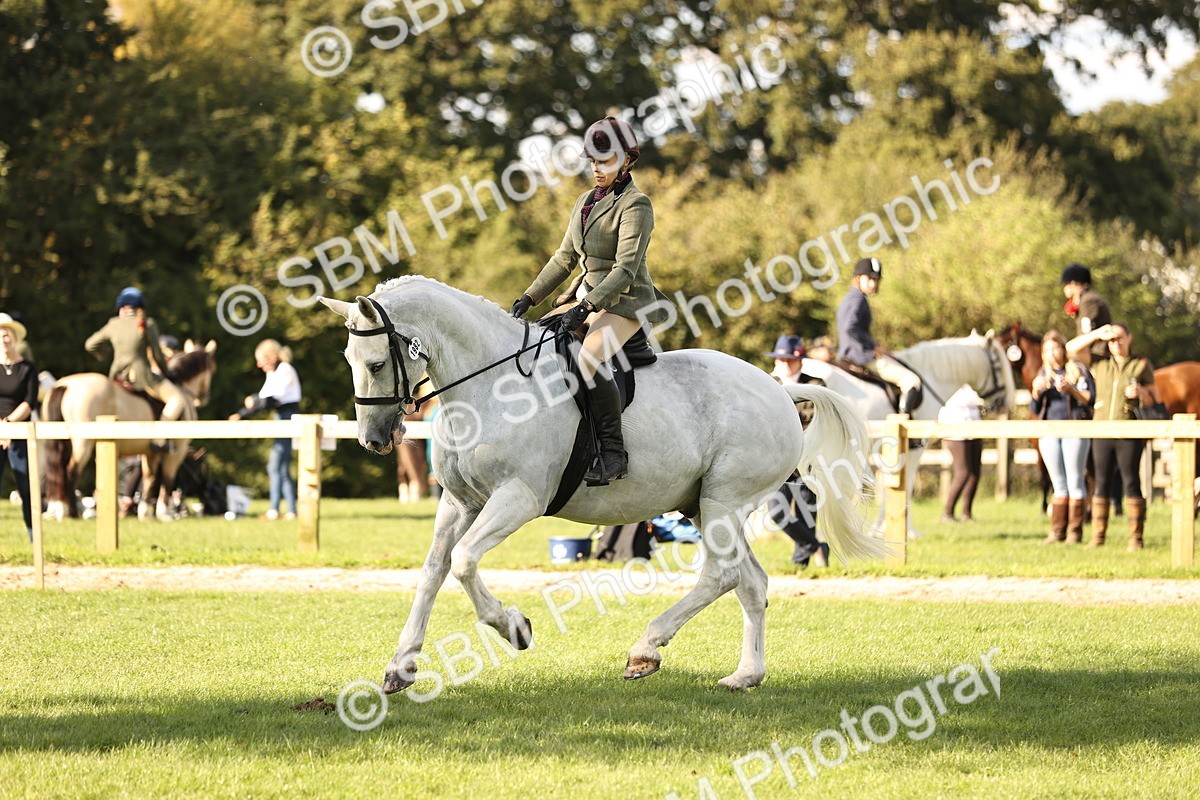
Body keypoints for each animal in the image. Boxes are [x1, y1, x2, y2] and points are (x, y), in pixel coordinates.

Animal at [42, 342, 218, 521]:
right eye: (212, 367)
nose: (204, 397)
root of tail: (65, 385)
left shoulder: (151, 452)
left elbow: (149, 479)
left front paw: (145, 513)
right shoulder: (177, 450)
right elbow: (167, 480)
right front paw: (164, 513)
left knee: (57, 472)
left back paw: (59, 509)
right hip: (83, 443)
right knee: (70, 472)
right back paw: (71, 512)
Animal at [320, 276, 883, 693]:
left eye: (376, 363)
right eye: (349, 361)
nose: (374, 440)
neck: (489, 387)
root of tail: (781, 390)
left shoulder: (518, 499)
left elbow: (463, 562)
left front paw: (514, 627)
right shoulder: (459, 502)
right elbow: (434, 569)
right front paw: (402, 665)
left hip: (723, 501)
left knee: (721, 576)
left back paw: (645, 649)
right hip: (704, 506)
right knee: (750, 583)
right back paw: (745, 675)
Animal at [797, 332, 1016, 535]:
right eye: (998, 367)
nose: (1002, 403)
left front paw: (881, 528)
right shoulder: (915, 449)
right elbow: (907, 485)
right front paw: (903, 530)